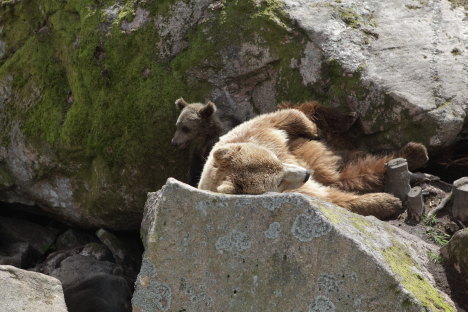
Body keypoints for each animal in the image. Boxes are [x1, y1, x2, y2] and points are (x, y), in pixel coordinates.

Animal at [197, 109, 428, 219]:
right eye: (278, 182)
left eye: (276, 161)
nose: (305, 174)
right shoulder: (301, 192)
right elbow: (333, 199)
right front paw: (386, 202)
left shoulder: (254, 134)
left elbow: (283, 117)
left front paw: (313, 127)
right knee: (344, 177)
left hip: (307, 153)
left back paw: (415, 152)